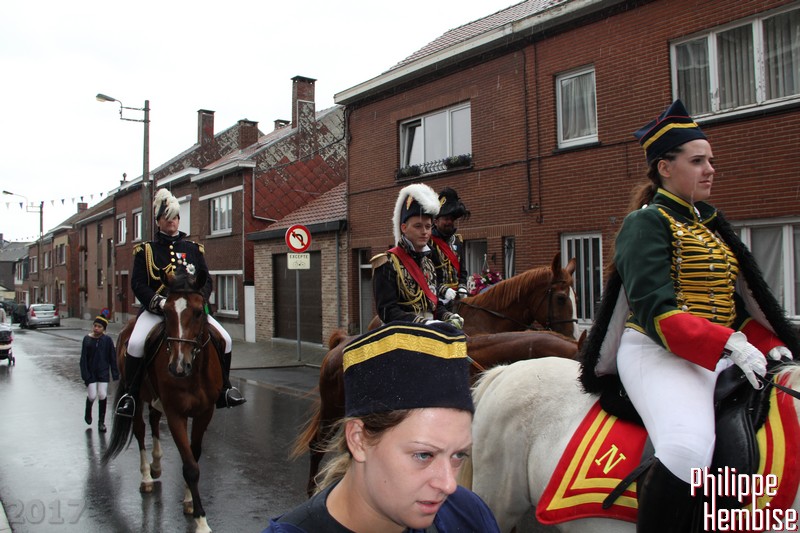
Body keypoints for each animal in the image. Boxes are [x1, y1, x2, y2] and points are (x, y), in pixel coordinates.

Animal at [102, 268, 223, 533]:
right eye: (166, 312)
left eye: (198, 312)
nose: (178, 367)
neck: (195, 372)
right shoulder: (176, 412)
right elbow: (190, 466)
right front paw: (201, 520)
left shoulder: (205, 412)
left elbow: (193, 456)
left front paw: (189, 501)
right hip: (136, 397)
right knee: (140, 430)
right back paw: (147, 476)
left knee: (155, 420)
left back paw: (156, 466)